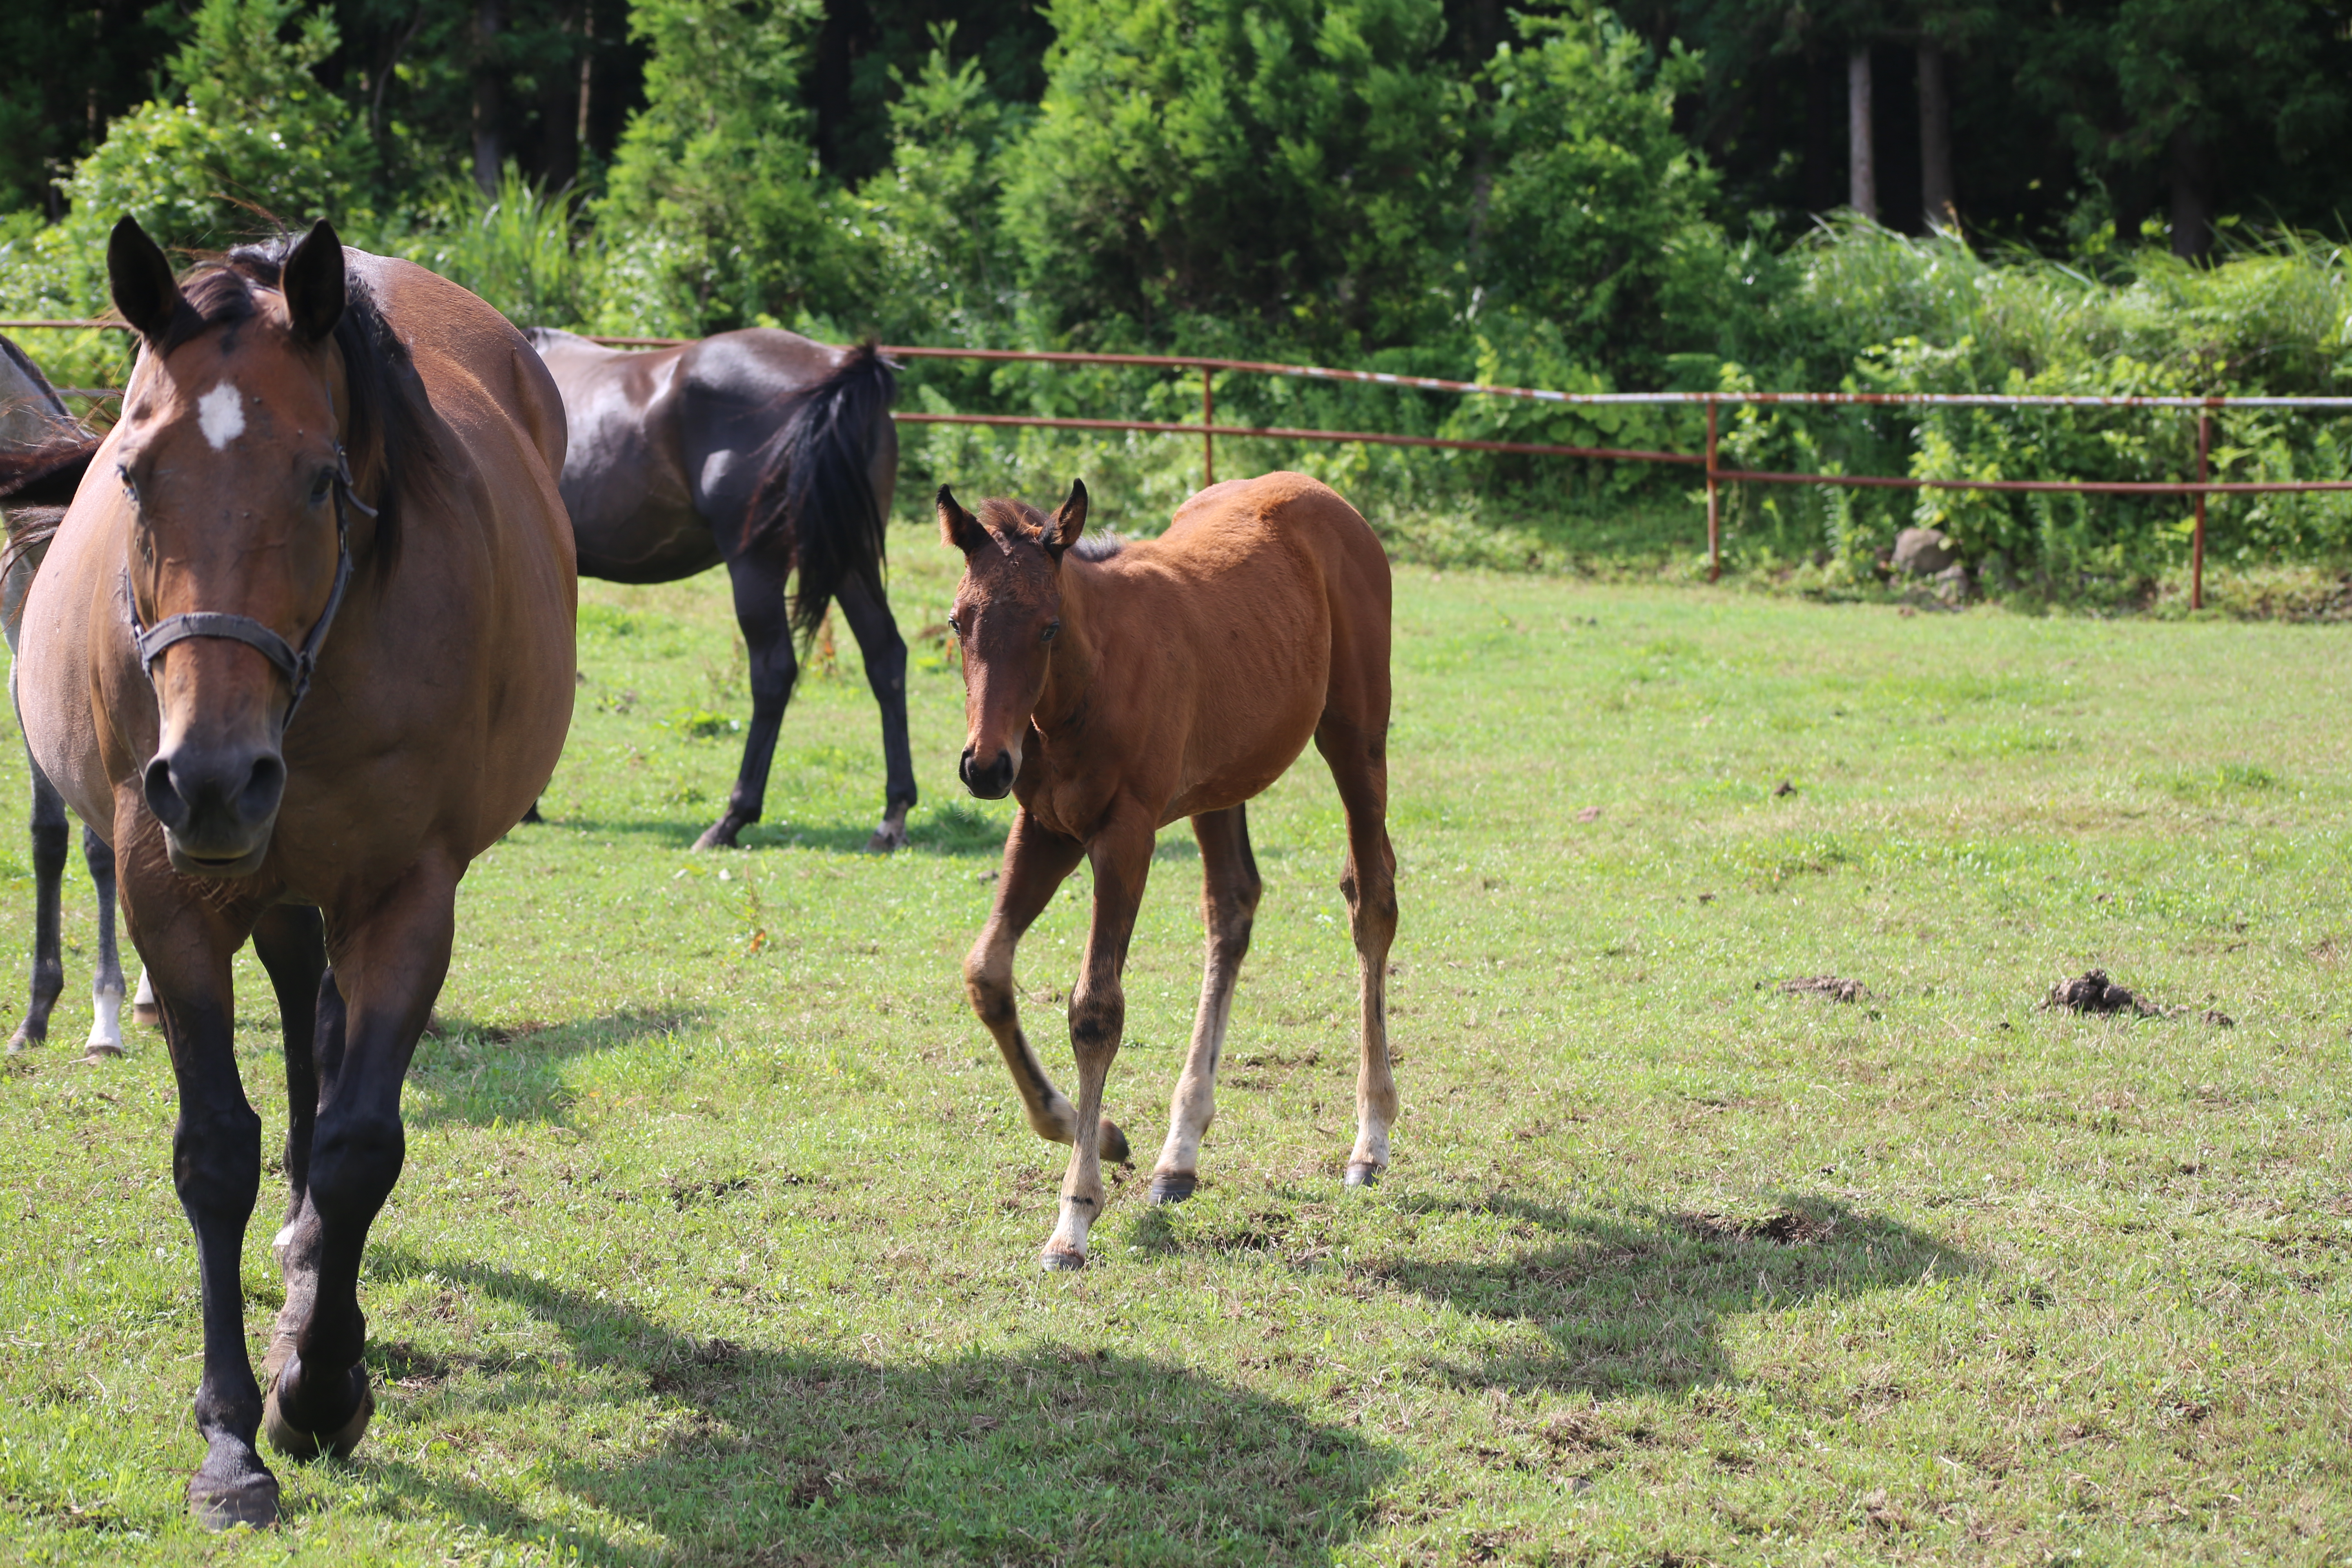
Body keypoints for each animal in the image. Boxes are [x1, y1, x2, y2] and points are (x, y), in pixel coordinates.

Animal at [13, 217, 574, 1523]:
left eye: (321, 479)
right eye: (133, 476)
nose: (213, 779)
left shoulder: (408, 897)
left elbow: (362, 1146)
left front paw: (320, 1386)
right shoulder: (172, 894)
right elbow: (214, 1149)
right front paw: (230, 1438)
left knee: (324, 1057)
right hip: (260, 883)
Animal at [524, 324, 908, 851]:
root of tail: (837, 371)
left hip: (756, 568)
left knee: (774, 674)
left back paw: (731, 819)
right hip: (853, 558)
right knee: (885, 657)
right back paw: (891, 819)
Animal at [936, 472, 1392, 1269]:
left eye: (1048, 628)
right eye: (961, 624)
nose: (986, 767)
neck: (1085, 685)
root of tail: (1324, 495)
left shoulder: (1126, 834)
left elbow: (1096, 1011)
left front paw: (1075, 1217)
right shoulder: (1046, 827)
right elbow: (987, 973)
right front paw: (1102, 1133)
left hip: (1357, 740)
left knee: (1372, 904)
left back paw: (1370, 1141)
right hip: (1221, 784)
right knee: (1233, 908)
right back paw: (1179, 1156)